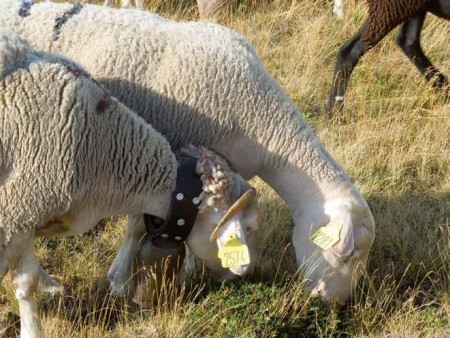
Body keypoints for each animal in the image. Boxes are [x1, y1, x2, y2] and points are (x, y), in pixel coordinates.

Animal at [2, 0, 376, 306]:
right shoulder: (160, 148)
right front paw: (120, 280)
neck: (266, 128)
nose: (338, 303)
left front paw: (192, 265)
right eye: (352, 252)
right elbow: (136, 226)